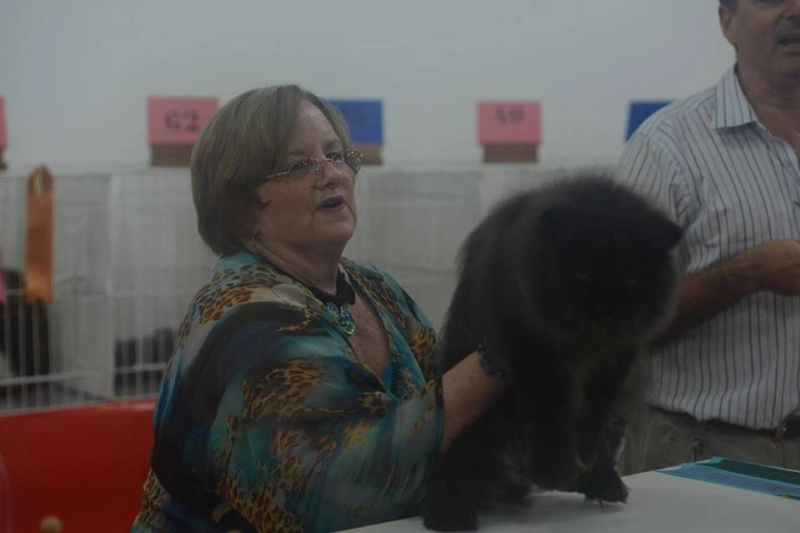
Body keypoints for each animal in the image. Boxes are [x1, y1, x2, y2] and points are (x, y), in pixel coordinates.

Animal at [422, 174, 682, 531]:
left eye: (632, 278)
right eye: (582, 272)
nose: (606, 309)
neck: (585, 344)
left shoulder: (617, 361)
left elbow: (592, 418)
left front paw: (577, 464)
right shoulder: (531, 350)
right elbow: (550, 417)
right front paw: (552, 472)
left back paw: (603, 483)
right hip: (474, 419)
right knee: (458, 466)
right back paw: (450, 514)